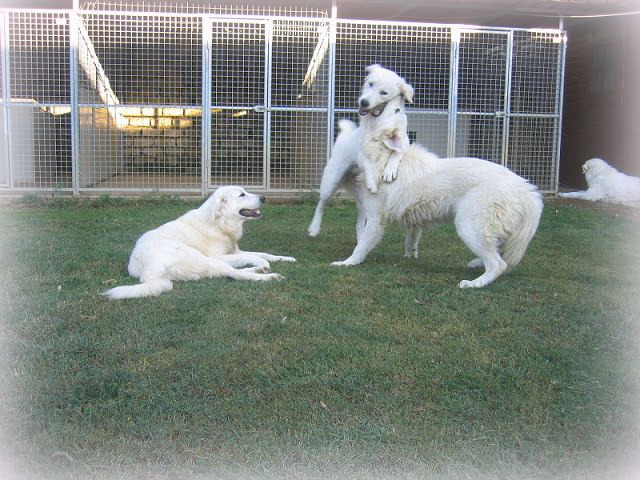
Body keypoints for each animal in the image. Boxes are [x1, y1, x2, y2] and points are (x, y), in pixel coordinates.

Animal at [103, 186, 295, 299]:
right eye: (241, 194)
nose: (263, 197)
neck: (220, 223)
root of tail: (148, 270)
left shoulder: (235, 251)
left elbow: (263, 253)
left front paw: (285, 258)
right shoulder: (222, 256)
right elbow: (255, 257)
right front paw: (265, 264)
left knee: (231, 272)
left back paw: (259, 270)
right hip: (203, 259)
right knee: (236, 274)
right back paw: (269, 276)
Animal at [307, 64, 414, 240]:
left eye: (383, 92)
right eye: (370, 84)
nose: (363, 102)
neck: (377, 122)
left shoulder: (404, 141)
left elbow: (397, 153)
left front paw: (389, 171)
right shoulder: (361, 153)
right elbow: (368, 164)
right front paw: (371, 180)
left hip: (361, 198)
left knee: (360, 219)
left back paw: (362, 234)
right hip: (330, 183)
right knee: (321, 205)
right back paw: (314, 228)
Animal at [331, 102, 543, 288]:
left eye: (392, 111)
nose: (399, 106)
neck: (382, 159)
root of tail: (524, 188)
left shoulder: (376, 219)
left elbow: (361, 246)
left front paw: (347, 263)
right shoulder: (411, 218)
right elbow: (411, 239)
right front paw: (410, 255)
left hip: (468, 226)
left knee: (498, 264)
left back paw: (474, 283)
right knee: (499, 253)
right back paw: (477, 263)